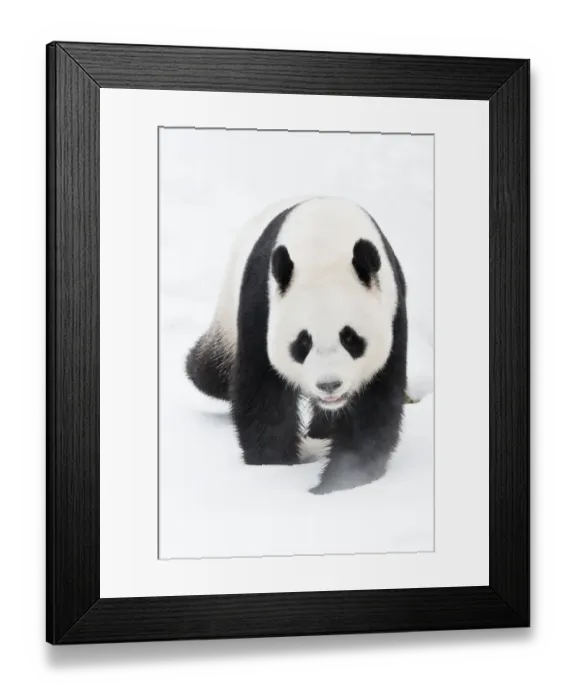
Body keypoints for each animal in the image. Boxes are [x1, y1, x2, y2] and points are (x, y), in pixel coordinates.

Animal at [185, 196, 408, 495]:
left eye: (350, 338)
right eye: (303, 341)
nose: (329, 385)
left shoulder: (392, 313)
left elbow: (373, 405)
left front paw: (339, 481)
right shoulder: (262, 305)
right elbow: (263, 393)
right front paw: (273, 465)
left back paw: (323, 431)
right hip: (228, 311)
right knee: (211, 372)